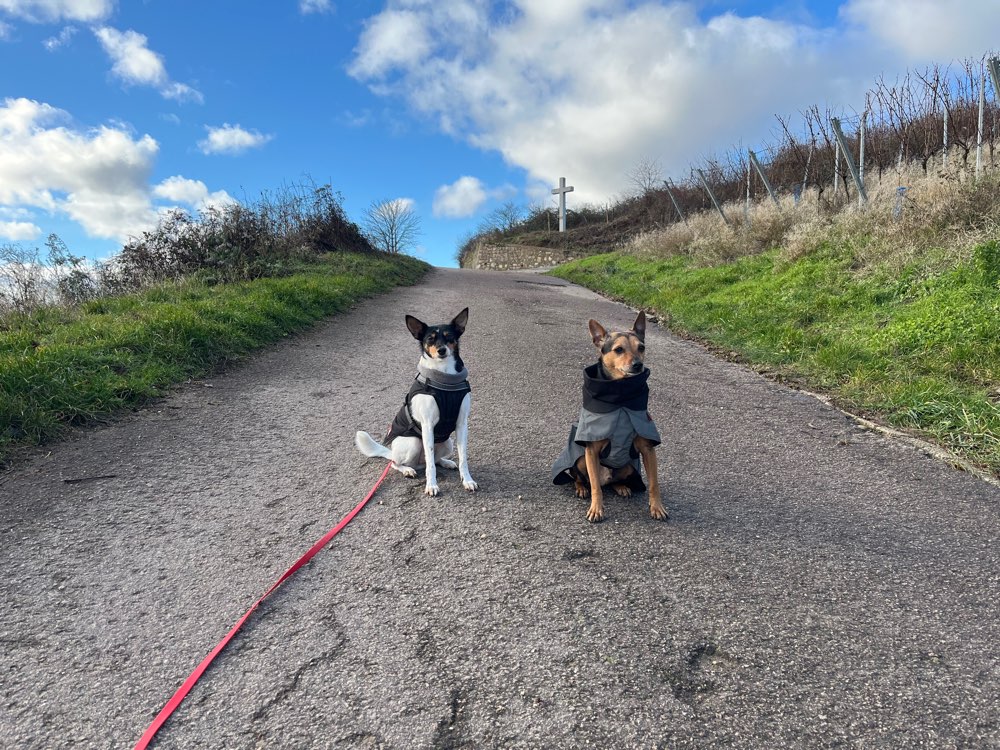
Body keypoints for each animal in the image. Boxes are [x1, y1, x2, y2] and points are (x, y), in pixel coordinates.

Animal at [354, 308, 478, 496]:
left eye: (449, 336)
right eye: (430, 339)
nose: (441, 350)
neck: (444, 377)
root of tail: (391, 451)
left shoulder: (462, 424)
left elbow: (463, 457)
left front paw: (467, 480)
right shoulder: (427, 425)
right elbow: (430, 463)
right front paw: (431, 485)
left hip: (447, 443)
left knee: (432, 460)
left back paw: (446, 462)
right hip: (413, 443)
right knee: (399, 463)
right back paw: (407, 469)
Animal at [552, 312, 668, 524]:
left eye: (641, 347)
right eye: (619, 349)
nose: (638, 365)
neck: (620, 397)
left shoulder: (648, 450)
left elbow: (654, 483)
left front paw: (657, 507)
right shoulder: (591, 450)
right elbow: (595, 487)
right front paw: (596, 509)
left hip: (628, 466)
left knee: (612, 482)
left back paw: (621, 487)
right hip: (581, 459)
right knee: (586, 480)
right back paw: (581, 488)